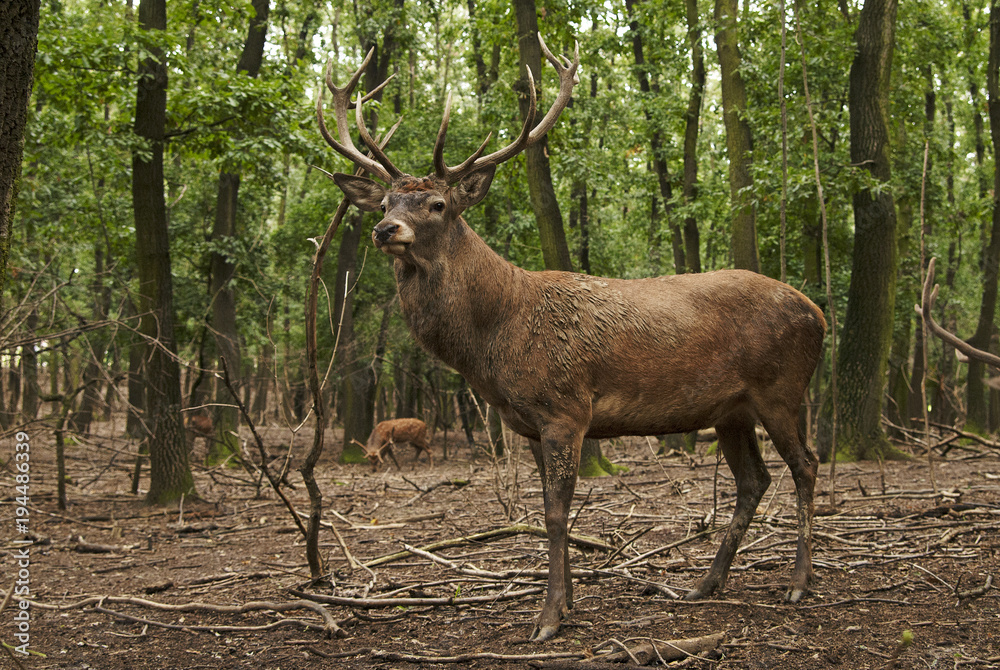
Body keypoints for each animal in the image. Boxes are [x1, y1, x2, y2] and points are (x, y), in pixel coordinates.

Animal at [318, 34, 827, 642]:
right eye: (386, 202)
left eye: (437, 204)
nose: (384, 229)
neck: (495, 338)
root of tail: (820, 315)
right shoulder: (529, 424)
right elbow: (545, 512)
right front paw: (566, 605)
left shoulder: (564, 408)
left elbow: (557, 513)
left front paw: (548, 619)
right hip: (731, 409)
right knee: (755, 480)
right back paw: (705, 584)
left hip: (782, 389)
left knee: (806, 465)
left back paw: (798, 583)